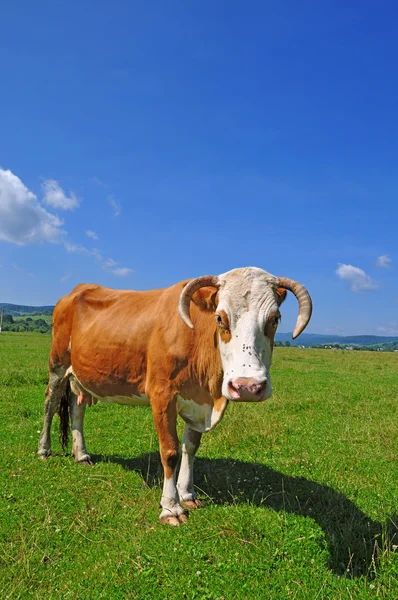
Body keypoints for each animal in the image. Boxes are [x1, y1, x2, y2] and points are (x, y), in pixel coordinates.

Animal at [38, 268, 310, 524]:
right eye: (220, 318)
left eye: (275, 318)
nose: (247, 386)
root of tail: (75, 291)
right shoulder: (162, 395)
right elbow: (170, 452)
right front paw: (171, 507)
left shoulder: (199, 402)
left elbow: (190, 447)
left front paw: (187, 494)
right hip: (57, 365)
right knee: (50, 404)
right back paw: (44, 449)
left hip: (80, 375)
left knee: (77, 410)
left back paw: (81, 454)